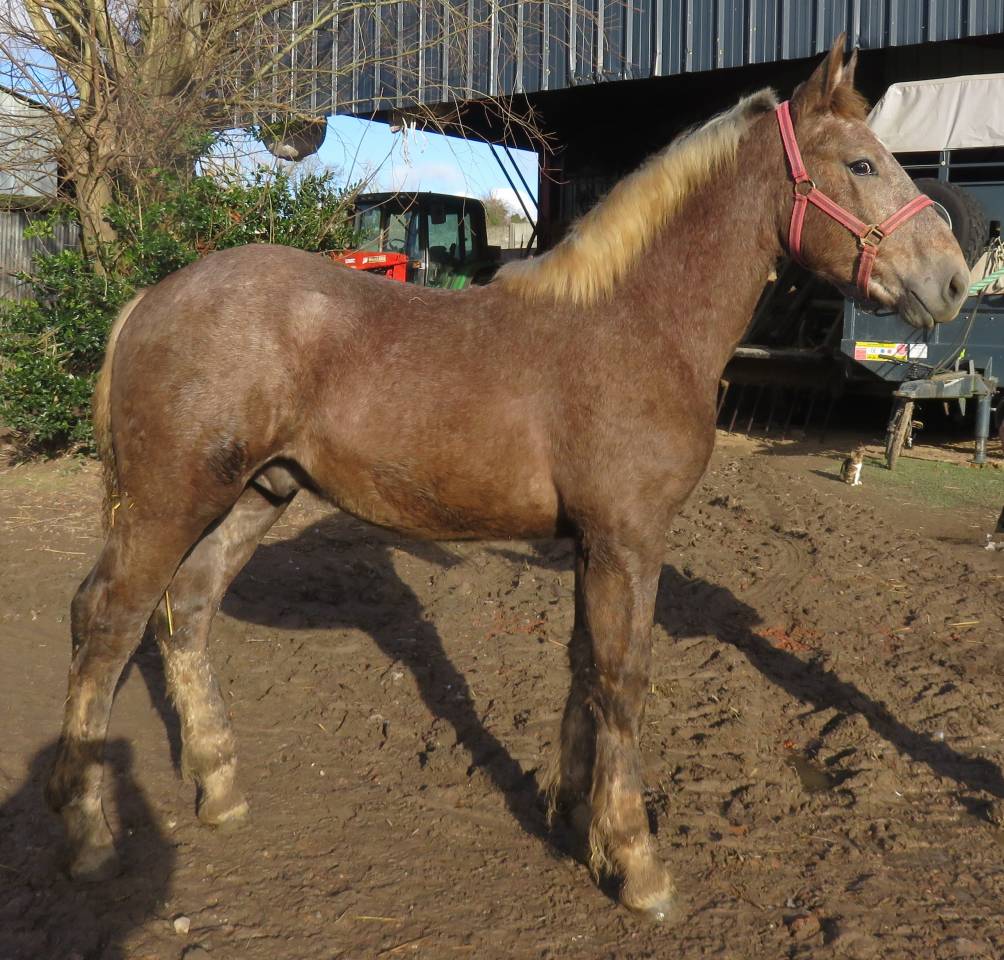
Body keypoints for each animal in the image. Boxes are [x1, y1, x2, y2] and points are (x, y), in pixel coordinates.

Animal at [46, 36, 968, 920]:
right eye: (862, 164)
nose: (955, 279)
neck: (634, 323)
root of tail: (151, 300)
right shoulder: (629, 539)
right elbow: (623, 681)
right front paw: (637, 865)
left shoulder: (593, 544)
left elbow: (583, 667)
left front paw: (576, 818)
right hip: (169, 504)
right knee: (107, 621)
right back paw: (88, 834)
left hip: (254, 496)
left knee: (187, 612)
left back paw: (220, 788)